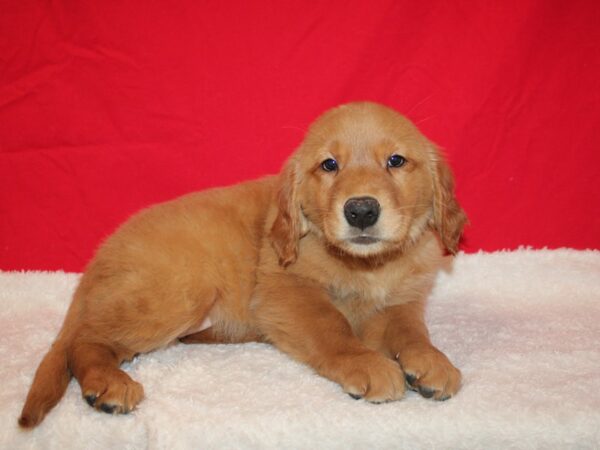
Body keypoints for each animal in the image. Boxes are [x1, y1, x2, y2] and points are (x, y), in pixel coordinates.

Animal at [18, 102, 466, 428]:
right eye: (329, 165)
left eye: (396, 161)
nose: (360, 211)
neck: (366, 265)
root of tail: (101, 253)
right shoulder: (287, 291)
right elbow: (332, 326)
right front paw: (366, 362)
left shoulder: (402, 300)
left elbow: (411, 331)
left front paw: (431, 361)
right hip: (179, 292)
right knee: (84, 340)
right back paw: (107, 384)